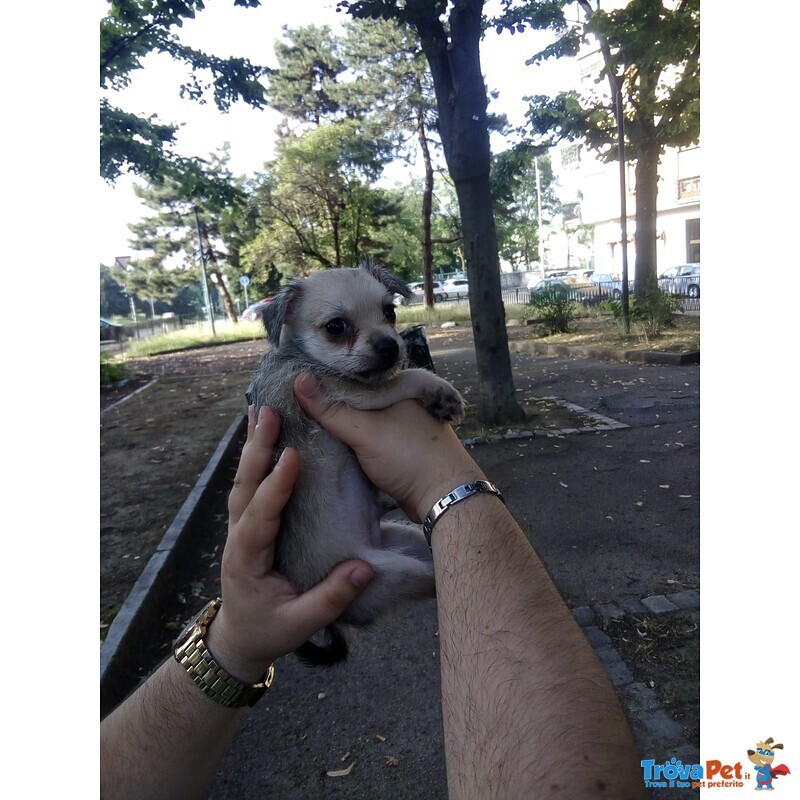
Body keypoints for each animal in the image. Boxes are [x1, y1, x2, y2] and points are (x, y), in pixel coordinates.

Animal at [247, 262, 466, 664]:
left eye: (390, 312)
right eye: (336, 327)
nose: (391, 345)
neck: (300, 356)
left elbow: (402, 373)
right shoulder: (352, 392)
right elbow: (408, 375)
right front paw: (441, 391)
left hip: (406, 540)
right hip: (392, 570)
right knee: (435, 581)